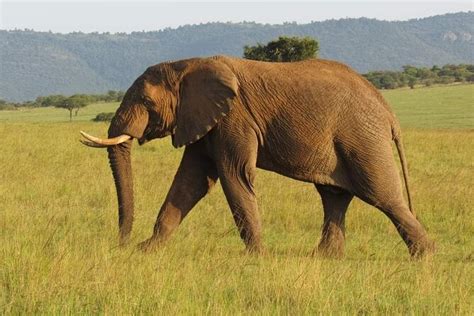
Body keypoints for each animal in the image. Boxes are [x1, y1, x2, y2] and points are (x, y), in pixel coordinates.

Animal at [80, 55, 434, 258]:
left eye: (145, 101)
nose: (121, 245)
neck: (186, 66)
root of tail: (388, 111)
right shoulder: (204, 119)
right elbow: (191, 181)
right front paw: (148, 251)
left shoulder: (234, 117)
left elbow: (234, 175)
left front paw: (258, 258)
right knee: (334, 196)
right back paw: (323, 258)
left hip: (362, 138)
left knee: (382, 195)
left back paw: (425, 256)